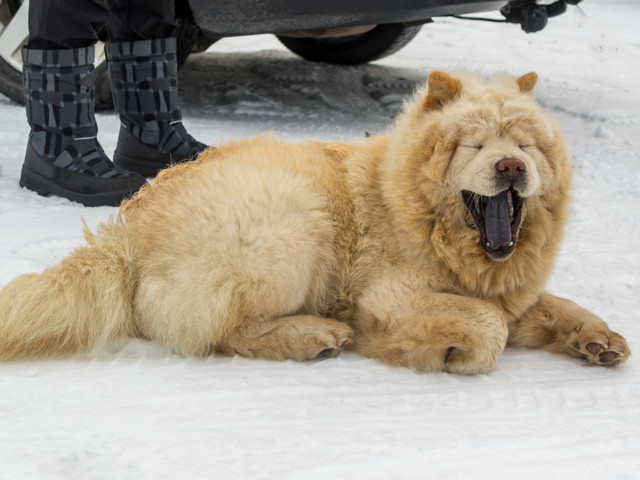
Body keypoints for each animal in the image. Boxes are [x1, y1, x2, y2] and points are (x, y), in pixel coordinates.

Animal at [0, 71, 632, 374]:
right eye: (475, 145)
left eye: (525, 145)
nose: (511, 166)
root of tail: (125, 232)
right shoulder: (391, 292)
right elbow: (488, 324)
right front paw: (438, 351)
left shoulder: (510, 287)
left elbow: (550, 307)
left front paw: (597, 340)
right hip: (295, 223)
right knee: (227, 331)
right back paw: (314, 337)